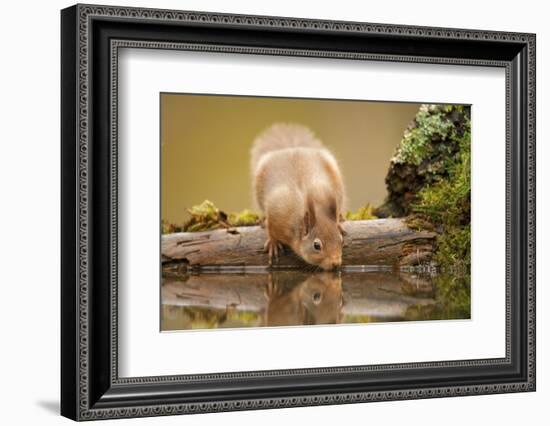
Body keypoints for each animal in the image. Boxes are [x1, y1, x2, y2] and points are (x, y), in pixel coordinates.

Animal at [252, 123, 348, 270]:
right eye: (316, 246)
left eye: (341, 240)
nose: (336, 263)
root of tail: (291, 148)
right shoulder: (277, 213)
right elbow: (271, 229)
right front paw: (273, 243)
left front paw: (338, 222)